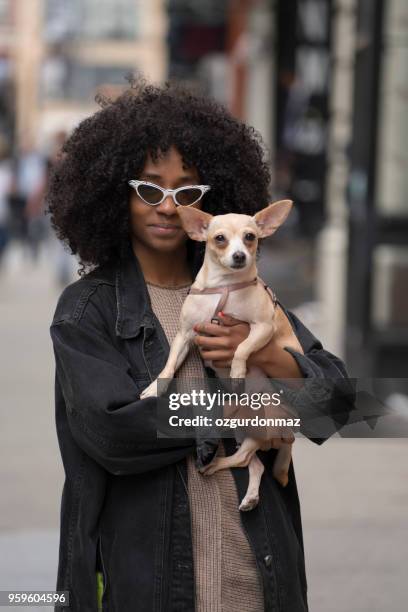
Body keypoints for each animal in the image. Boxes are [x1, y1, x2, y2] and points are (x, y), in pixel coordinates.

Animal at [142, 201, 298, 512]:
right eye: (220, 239)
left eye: (250, 237)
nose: (239, 256)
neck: (224, 287)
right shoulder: (185, 335)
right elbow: (168, 366)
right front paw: (155, 388)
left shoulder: (263, 327)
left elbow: (242, 347)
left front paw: (237, 372)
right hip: (242, 431)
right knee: (253, 464)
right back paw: (247, 494)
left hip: (263, 421)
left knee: (244, 459)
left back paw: (215, 466)